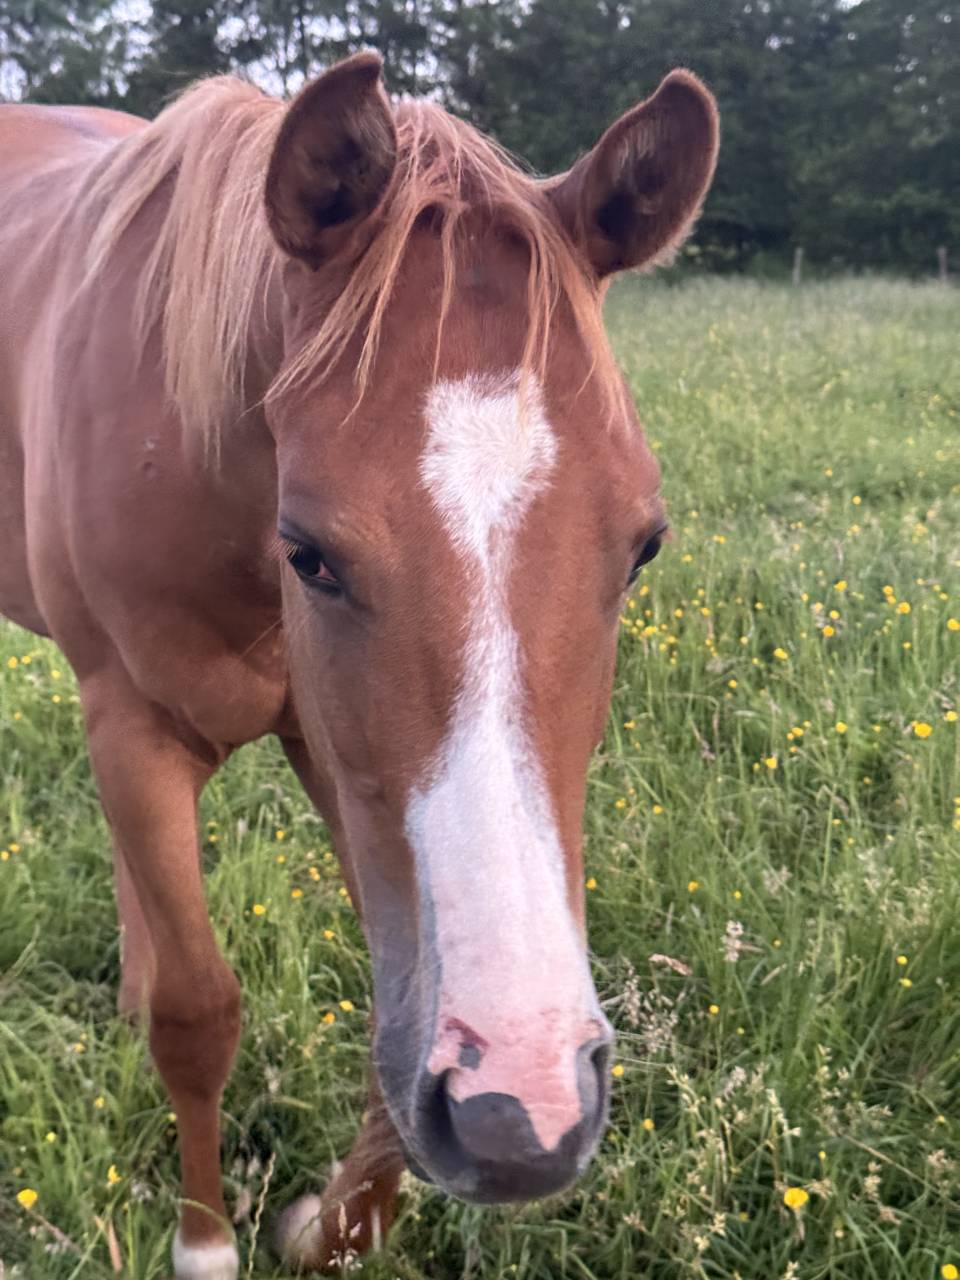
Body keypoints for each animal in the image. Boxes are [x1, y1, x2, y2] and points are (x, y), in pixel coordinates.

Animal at [0, 52, 717, 1277]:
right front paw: (206, 1244)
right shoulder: (133, 724)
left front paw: (336, 1226)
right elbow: (197, 1013)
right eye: (310, 552)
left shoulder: (337, 753)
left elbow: (398, 979)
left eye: (644, 546)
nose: (523, 1113)